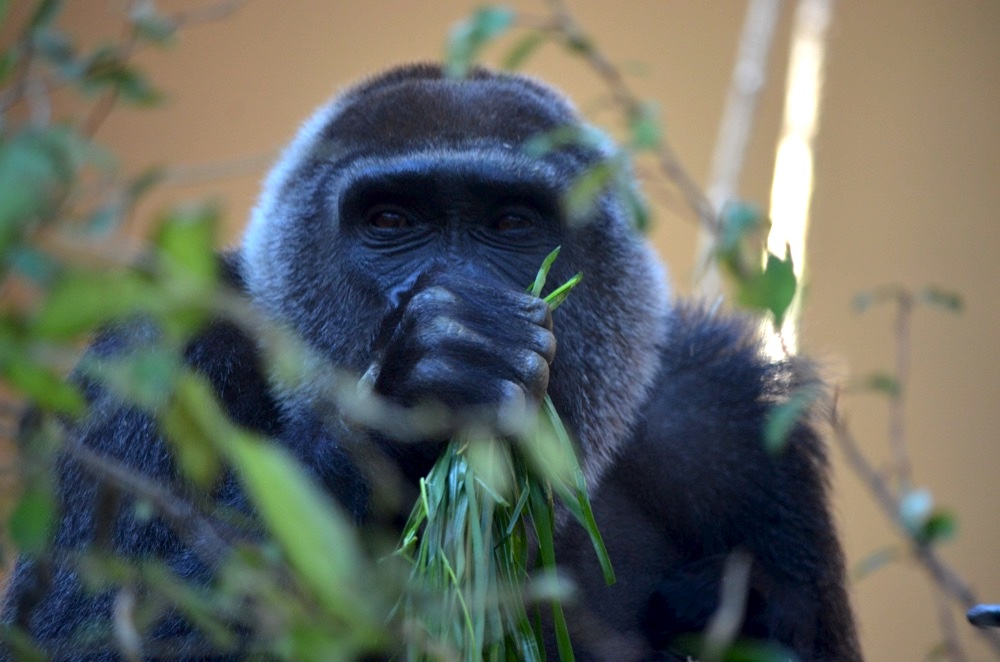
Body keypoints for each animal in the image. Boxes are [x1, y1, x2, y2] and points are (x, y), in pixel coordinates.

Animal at [0, 63, 860, 662]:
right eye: (390, 221)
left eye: (512, 224)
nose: (454, 289)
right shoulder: (153, 359)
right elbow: (92, 628)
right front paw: (425, 390)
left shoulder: (728, 418)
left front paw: (746, 612)